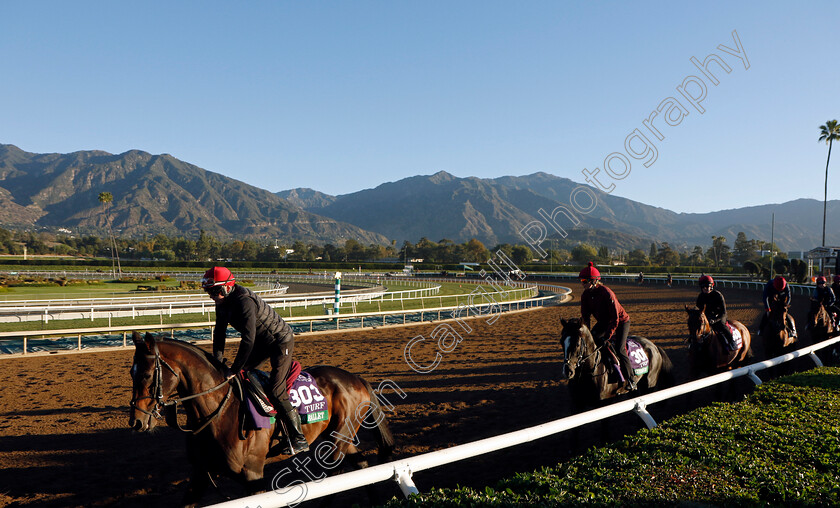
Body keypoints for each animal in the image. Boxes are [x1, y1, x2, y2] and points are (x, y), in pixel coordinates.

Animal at [129, 332, 398, 506]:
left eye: (146, 374)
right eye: (131, 373)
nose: (137, 422)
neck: (217, 411)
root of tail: (356, 378)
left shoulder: (253, 476)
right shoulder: (201, 474)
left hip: (336, 441)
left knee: (335, 478)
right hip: (338, 436)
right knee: (361, 468)